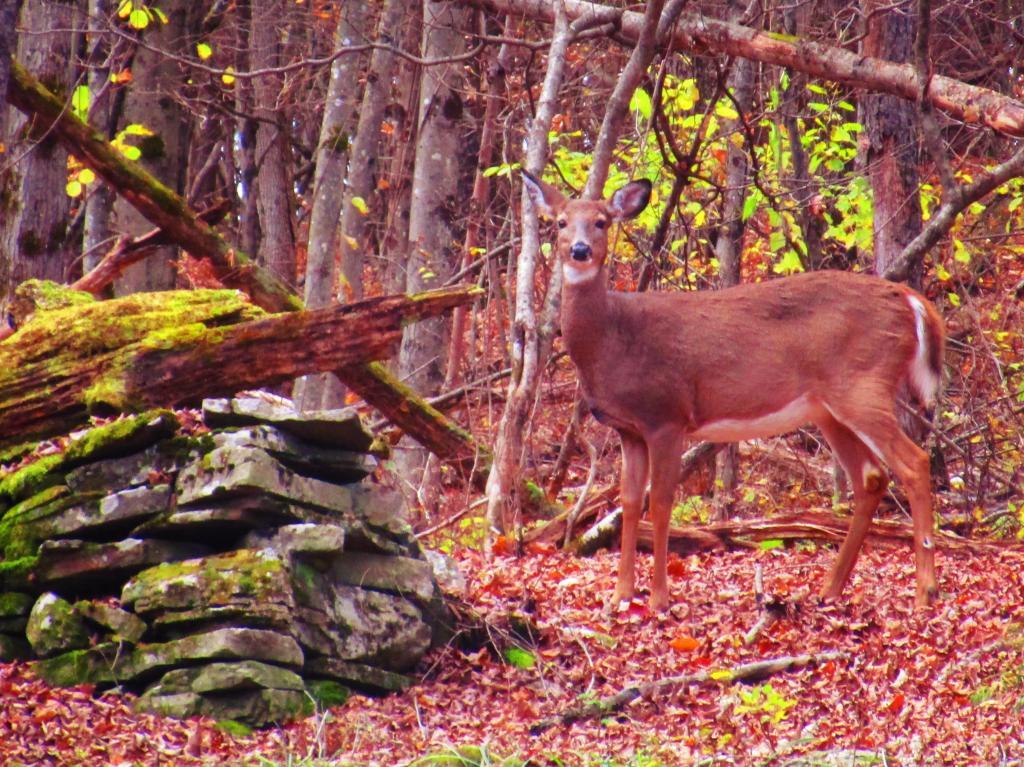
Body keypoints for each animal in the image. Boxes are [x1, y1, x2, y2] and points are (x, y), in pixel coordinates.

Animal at [524, 168, 946, 610]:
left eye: (602, 222)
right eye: (560, 222)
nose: (580, 250)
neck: (613, 338)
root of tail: (912, 300)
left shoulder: (667, 416)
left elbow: (661, 503)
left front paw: (659, 598)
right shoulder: (629, 430)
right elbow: (628, 502)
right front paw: (620, 596)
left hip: (862, 384)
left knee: (914, 462)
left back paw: (925, 590)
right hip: (828, 408)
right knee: (872, 477)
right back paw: (830, 589)